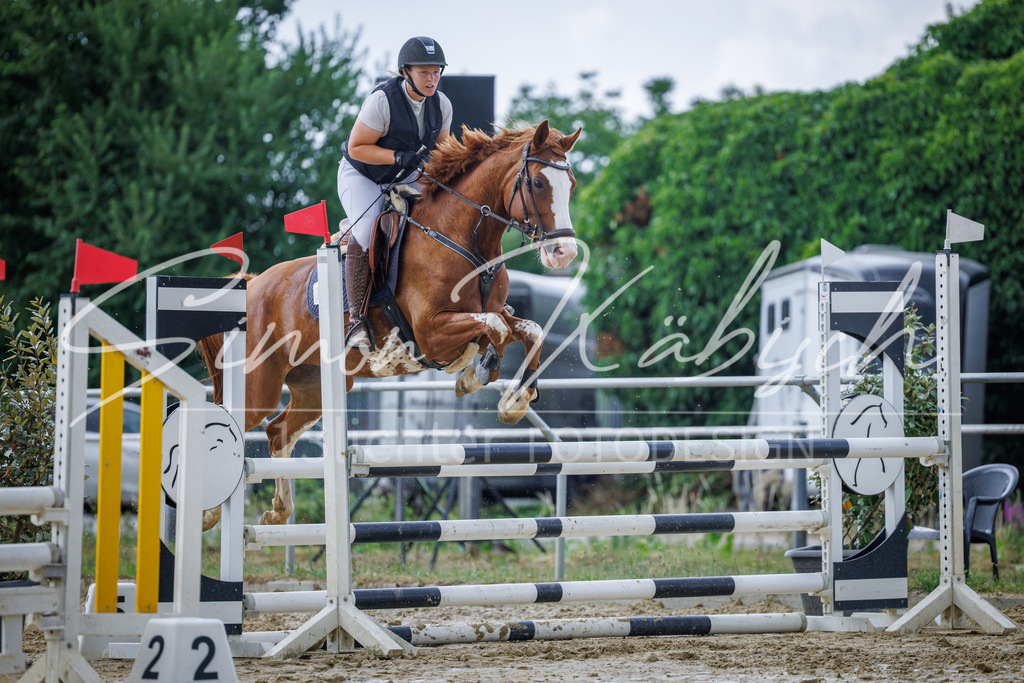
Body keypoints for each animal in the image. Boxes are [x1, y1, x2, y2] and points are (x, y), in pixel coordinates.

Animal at [198, 121, 582, 529]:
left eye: (571, 184)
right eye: (538, 183)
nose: (565, 253)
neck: (466, 240)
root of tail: (252, 286)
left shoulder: (489, 314)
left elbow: (526, 330)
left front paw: (513, 401)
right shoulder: (431, 331)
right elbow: (494, 328)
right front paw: (474, 374)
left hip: (314, 386)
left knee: (277, 431)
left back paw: (277, 511)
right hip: (259, 387)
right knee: (228, 421)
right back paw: (208, 513)